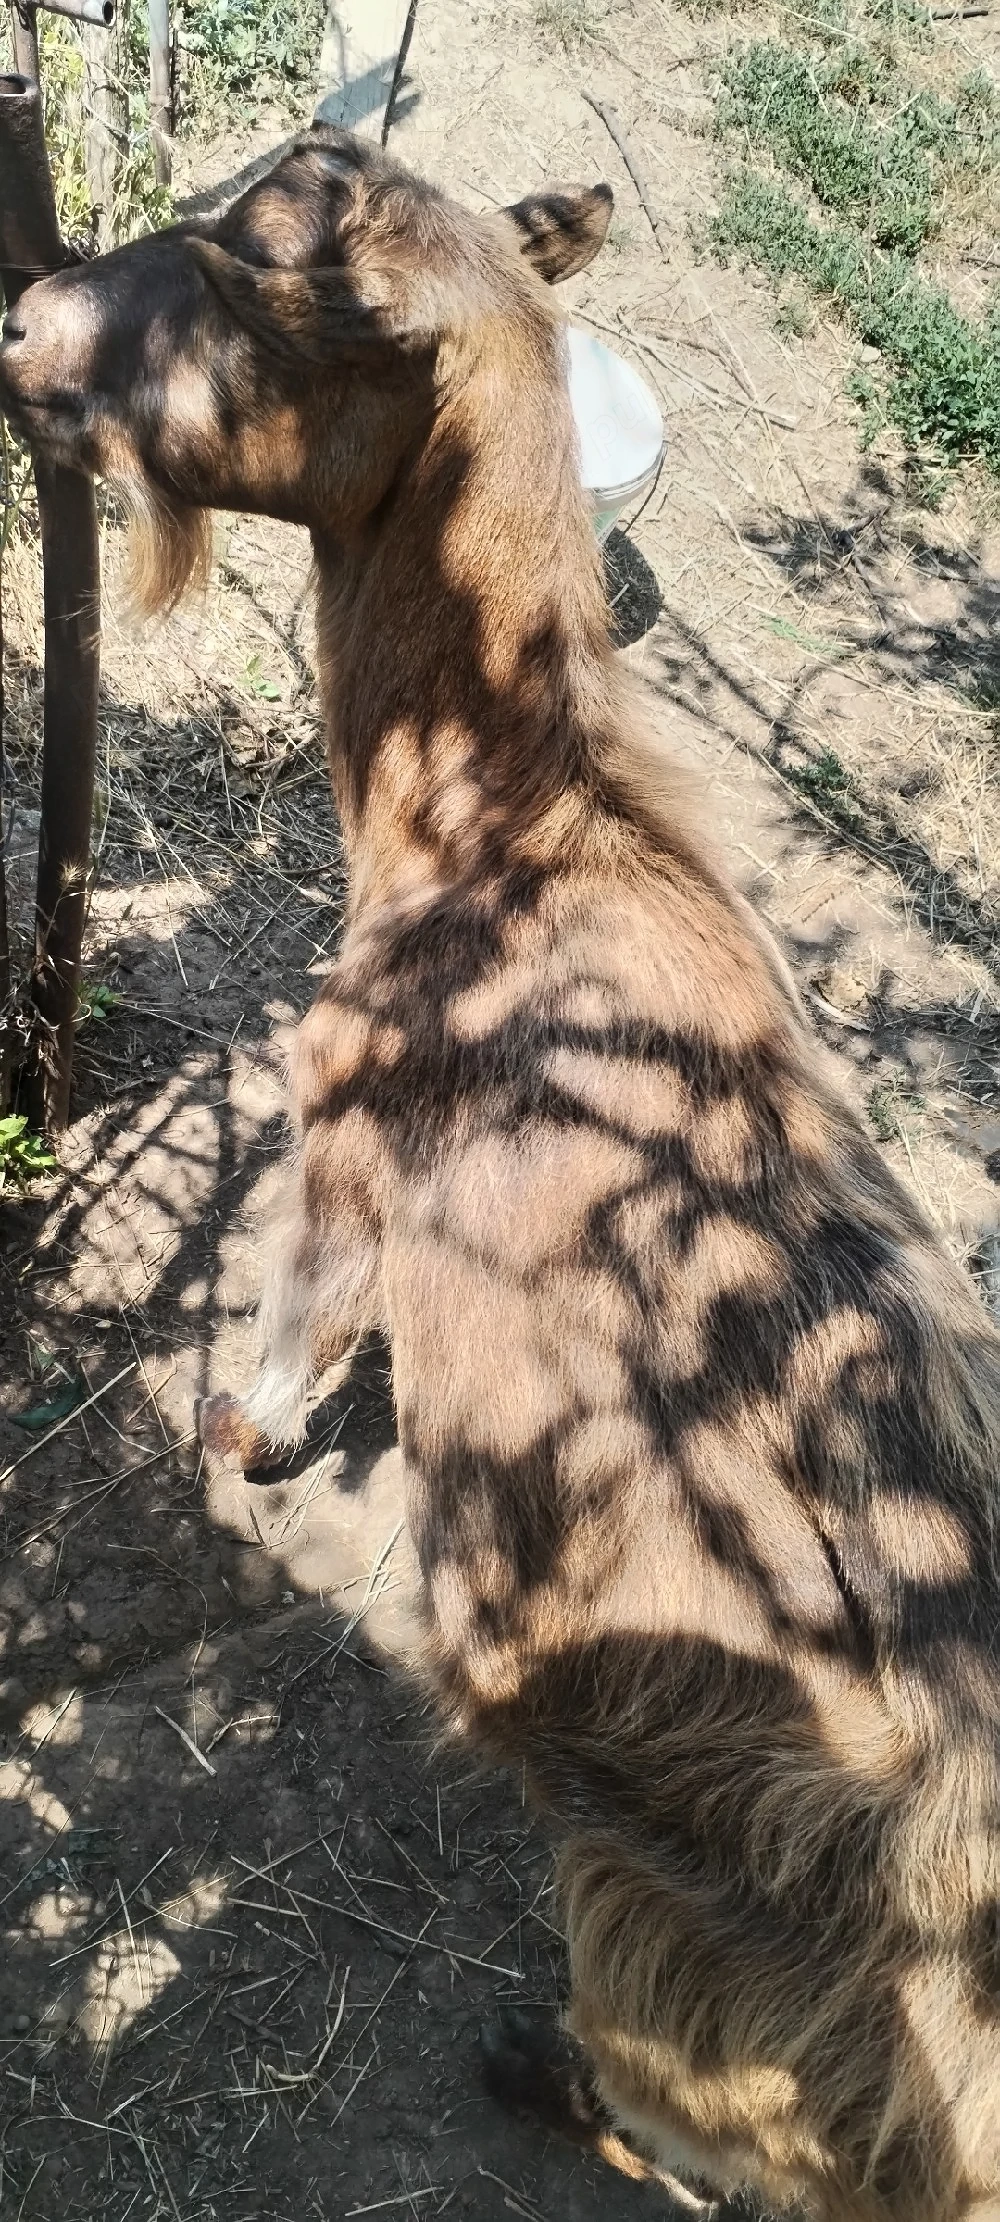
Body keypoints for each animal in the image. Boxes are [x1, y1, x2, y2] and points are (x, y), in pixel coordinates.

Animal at [4, 125, 1000, 2222]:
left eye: (252, 287)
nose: (24, 323)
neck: (524, 826)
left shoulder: (347, 1136)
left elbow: (297, 1316)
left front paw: (240, 1436)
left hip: (689, 1908)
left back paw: (537, 2067)